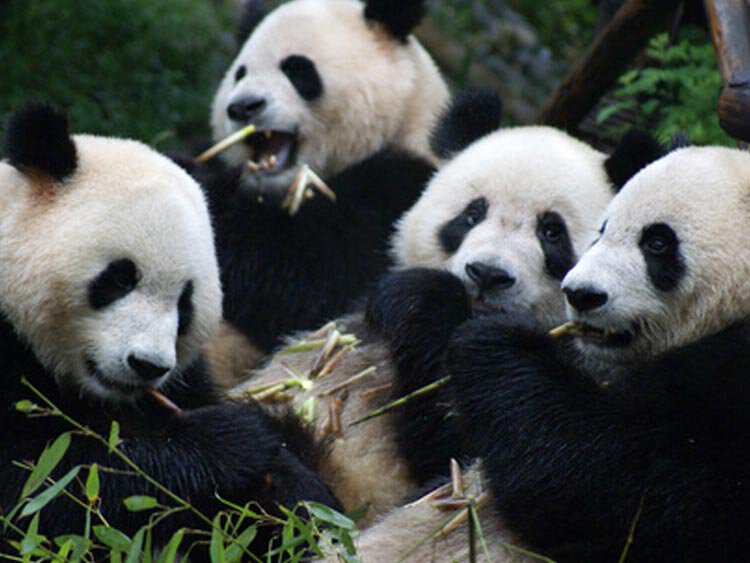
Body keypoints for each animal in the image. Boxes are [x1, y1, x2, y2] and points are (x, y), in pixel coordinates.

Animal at [0, 104, 339, 558]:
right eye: (119, 278)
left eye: (185, 301)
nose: (147, 365)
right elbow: (44, 483)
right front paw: (231, 441)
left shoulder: (184, 381)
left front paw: (294, 497)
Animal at [354, 143, 750, 562]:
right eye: (601, 230)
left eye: (657, 243)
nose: (580, 294)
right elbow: (453, 445)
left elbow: (624, 484)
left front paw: (489, 340)